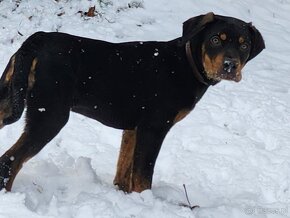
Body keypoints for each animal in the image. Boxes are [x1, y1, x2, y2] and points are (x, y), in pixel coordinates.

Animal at [0, 12, 264, 192]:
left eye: (244, 44)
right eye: (215, 40)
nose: (230, 66)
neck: (186, 65)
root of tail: (38, 39)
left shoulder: (133, 129)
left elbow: (124, 172)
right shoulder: (154, 128)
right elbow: (142, 176)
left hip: (8, 99)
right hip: (50, 116)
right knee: (10, 161)